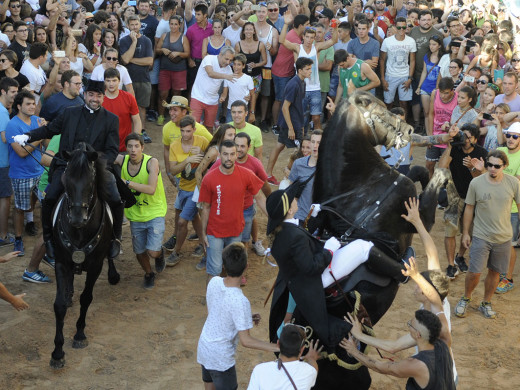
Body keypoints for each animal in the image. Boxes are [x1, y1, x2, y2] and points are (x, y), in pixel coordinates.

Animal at [49, 143, 120, 368]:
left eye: (90, 182)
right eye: (66, 180)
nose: (77, 218)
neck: (79, 232)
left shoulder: (96, 265)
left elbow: (86, 298)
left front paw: (79, 334)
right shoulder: (61, 263)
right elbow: (59, 305)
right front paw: (57, 352)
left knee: (111, 254)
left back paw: (113, 273)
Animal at [304, 93, 450, 388]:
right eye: (382, 111)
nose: (409, 131)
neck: (361, 191)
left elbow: (418, 170)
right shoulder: (418, 215)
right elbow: (428, 178)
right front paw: (441, 176)